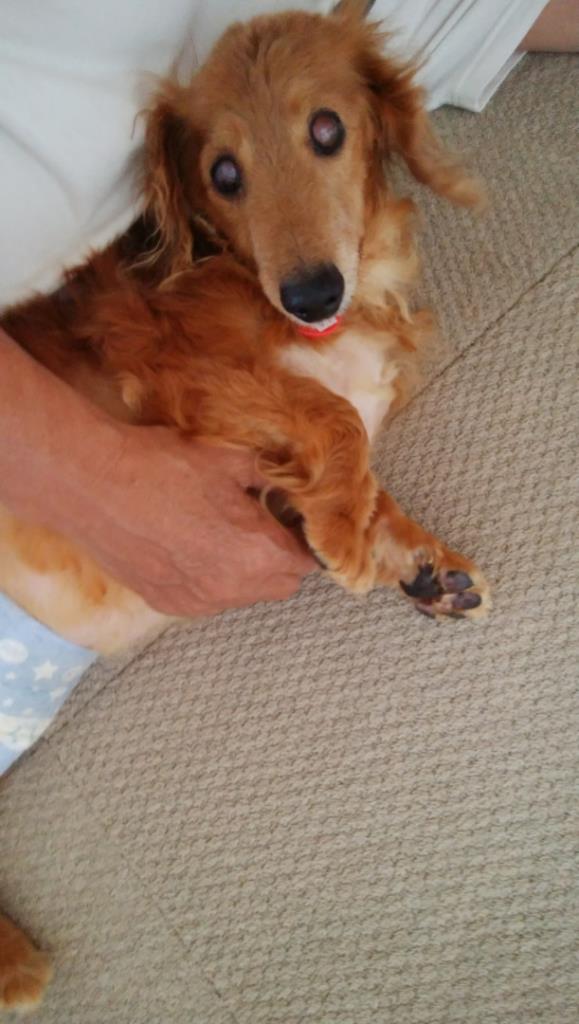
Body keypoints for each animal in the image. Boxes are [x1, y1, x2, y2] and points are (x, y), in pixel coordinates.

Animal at [0, 0, 489, 1008]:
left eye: (328, 130)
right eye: (222, 174)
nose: (309, 291)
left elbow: (366, 482)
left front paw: (421, 561)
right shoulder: (177, 380)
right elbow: (334, 418)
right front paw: (349, 535)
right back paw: (14, 964)